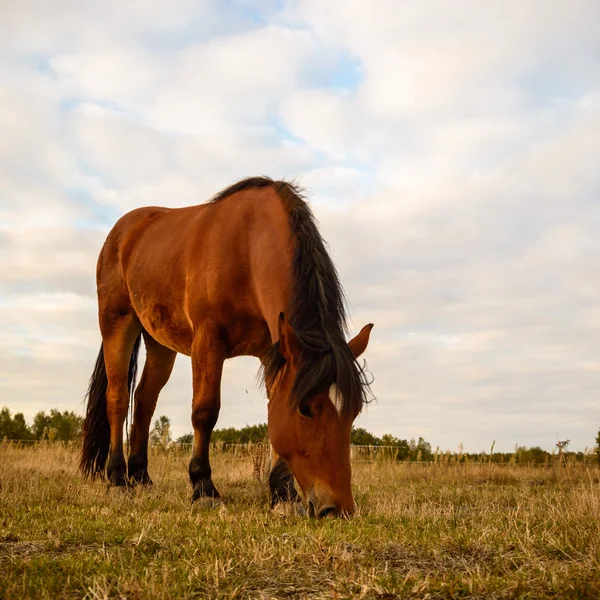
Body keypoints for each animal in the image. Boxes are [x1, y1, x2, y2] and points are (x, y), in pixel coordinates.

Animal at [77, 177, 372, 516]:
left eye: (354, 411)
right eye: (306, 409)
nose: (338, 508)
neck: (248, 245)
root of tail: (122, 231)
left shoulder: (272, 353)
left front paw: (284, 495)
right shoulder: (208, 340)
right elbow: (205, 411)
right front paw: (204, 487)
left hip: (160, 343)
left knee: (144, 400)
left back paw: (141, 477)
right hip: (117, 323)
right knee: (117, 398)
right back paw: (117, 479)